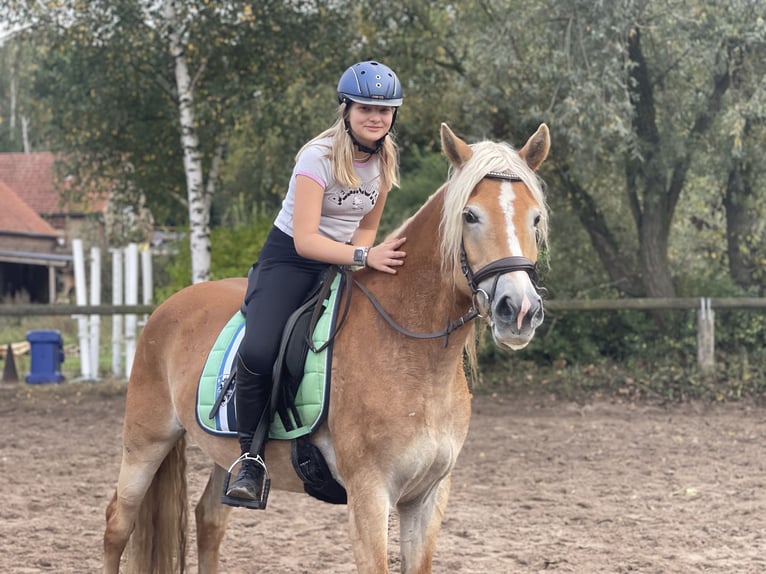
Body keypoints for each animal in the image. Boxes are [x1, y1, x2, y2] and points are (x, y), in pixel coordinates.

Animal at [103, 122, 550, 574]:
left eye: (535, 217)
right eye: (470, 216)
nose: (519, 310)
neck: (415, 358)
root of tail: (168, 306)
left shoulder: (428, 496)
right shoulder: (369, 493)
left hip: (220, 452)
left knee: (208, 520)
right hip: (146, 441)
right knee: (117, 524)